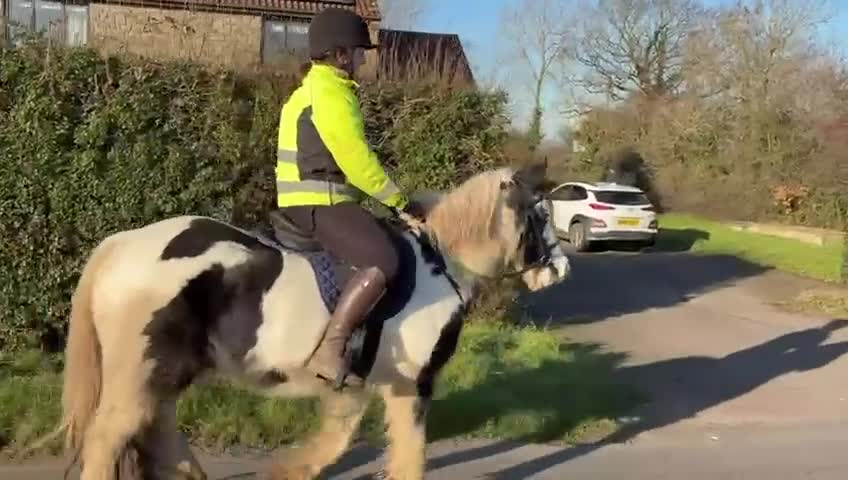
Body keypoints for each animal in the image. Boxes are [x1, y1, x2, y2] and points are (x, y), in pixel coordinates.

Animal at [43, 161, 571, 480]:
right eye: (540, 214)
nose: (560, 268)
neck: (440, 265)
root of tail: (123, 243)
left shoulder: (359, 384)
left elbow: (338, 438)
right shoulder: (412, 384)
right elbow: (409, 455)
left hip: (163, 373)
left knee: (159, 430)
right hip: (143, 372)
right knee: (110, 437)